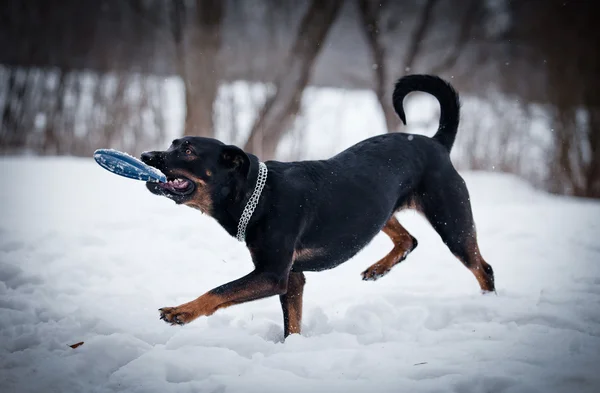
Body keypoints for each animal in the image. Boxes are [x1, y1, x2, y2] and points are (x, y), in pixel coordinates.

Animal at [142, 74, 496, 336]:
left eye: (188, 150)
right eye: (173, 143)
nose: (147, 155)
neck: (258, 195)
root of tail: (437, 143)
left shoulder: (272, 274)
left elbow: (219, 290)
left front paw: (180, 311)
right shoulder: (293, 277)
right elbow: (292, 323)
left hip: (452, 221)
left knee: (483, 268)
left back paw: (489, 305)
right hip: (380, 211)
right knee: (409, 239)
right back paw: (378, 268)